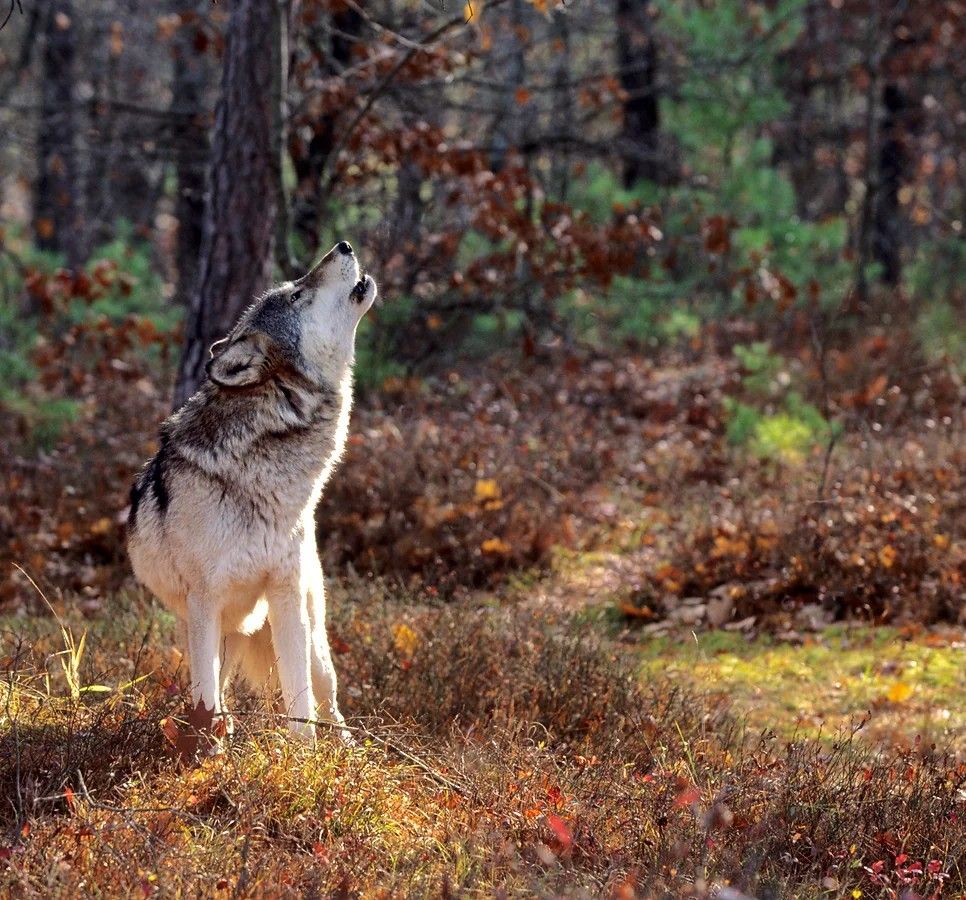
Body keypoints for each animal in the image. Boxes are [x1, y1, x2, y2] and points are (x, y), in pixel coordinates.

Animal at [125, 243, 374, 748]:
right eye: (297, 294)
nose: (343, 246)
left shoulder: (285, 594)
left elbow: (300, 701)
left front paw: (305, 756)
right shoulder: (205, 602)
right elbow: (205, 697)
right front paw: (205, 752)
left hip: (310, 628)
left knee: (329, 698)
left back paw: (345, 751)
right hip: (216, 627)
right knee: (215, 687)